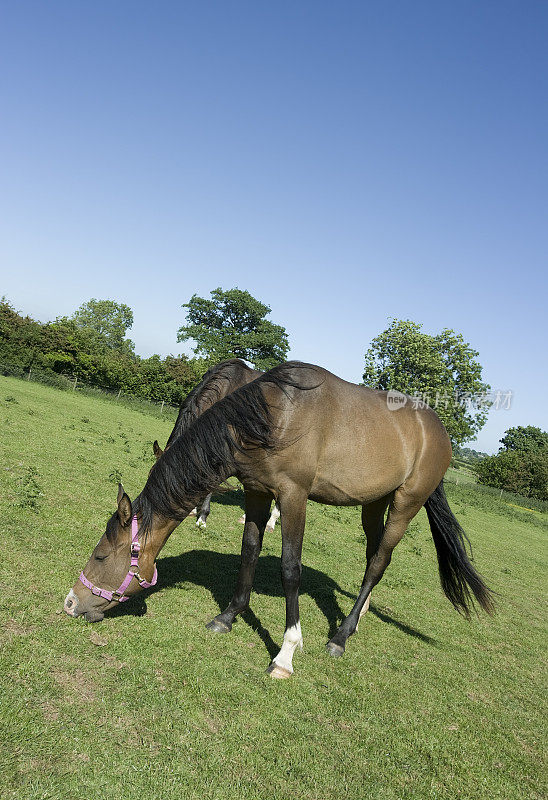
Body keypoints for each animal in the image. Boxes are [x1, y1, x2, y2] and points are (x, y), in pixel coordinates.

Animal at [64, 364, 492, 680]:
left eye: (101, 557)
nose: (71, 602)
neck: (272, 415)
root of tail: (439, 430)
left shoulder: (293, 497)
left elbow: (290, 568)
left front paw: (286, 653)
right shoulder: (256, 491)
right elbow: (249, 551)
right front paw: (228, 616)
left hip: (406, 504)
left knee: (379, 561)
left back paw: (341, 636)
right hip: (374, 503)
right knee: (374, 555)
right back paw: (358, 615)